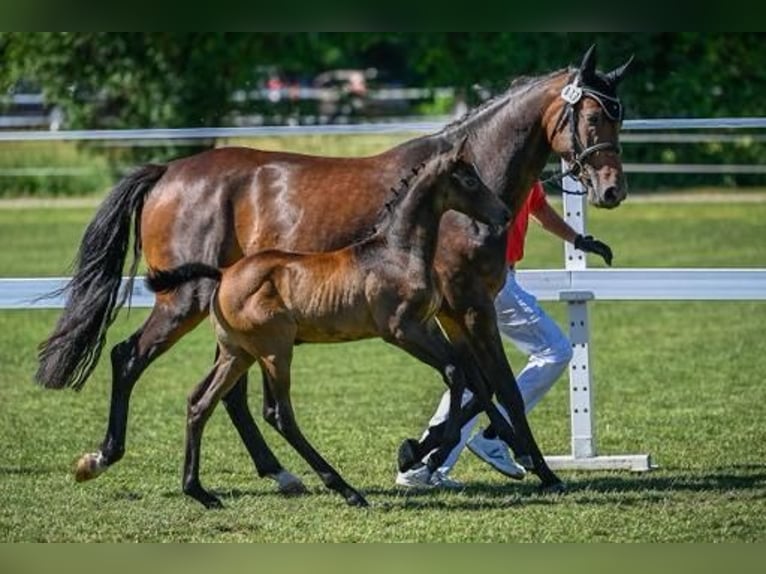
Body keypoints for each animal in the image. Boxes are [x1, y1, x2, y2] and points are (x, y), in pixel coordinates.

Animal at [144, 140, 512, 508]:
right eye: (469, 181)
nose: (505, 215)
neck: (398, 252)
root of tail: (223, 274)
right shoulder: (402, 331)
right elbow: (454, 372)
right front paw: (424, 455)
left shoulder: (427, 326)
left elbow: (468, 376)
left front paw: (418, 452)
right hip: (275, 352)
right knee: (280, 414)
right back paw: (345, 489)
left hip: (237, 353)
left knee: (200, 402)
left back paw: (199, 491)